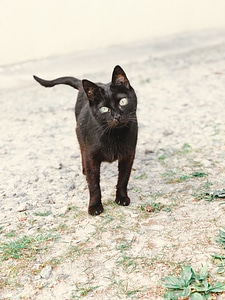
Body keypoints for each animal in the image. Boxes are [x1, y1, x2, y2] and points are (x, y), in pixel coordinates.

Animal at [33, 65, 137, 216]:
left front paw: (122, 198)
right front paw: (94, 206)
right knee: (82, 150)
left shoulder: (128, 155)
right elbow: (93, 184)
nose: (117, 116)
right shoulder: (91, 157)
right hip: (80, 135)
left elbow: (123, 178)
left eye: (122, 102)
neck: (114, 135)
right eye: (104, 109)